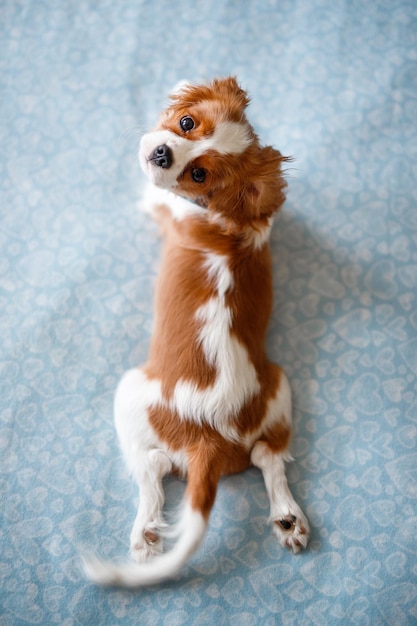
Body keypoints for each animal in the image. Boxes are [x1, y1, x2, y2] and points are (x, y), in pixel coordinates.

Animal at [83, 77, 308, 584]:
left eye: (199, 175)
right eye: (186, 123)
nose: (162, 153)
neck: (228, 217)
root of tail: (210, 436)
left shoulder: (163, 204)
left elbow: (152, 198)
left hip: (129, 393)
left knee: (151, 471)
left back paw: (145, 536)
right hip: (278, 387)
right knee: (269, 456)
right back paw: (288, 518)